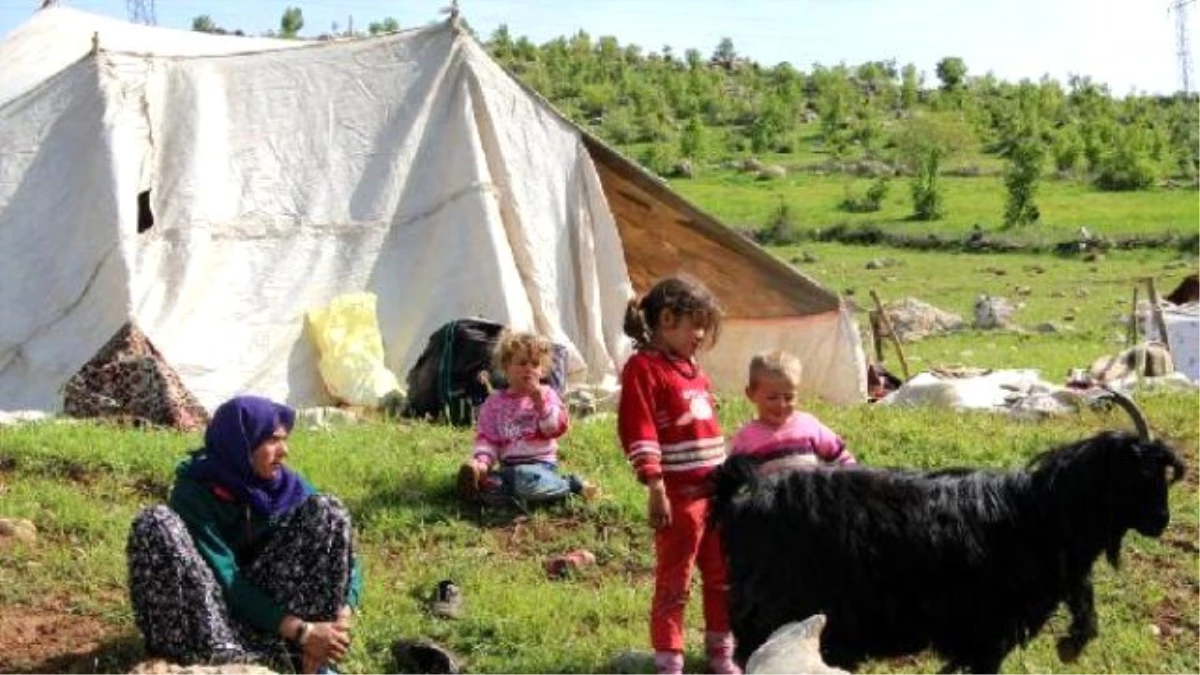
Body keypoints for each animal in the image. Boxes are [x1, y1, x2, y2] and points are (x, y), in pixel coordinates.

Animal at [705, 391, 1185, 667]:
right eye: (1142, 473)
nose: (1161, 521)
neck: (1038, 514)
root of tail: (743, 497)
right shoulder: (990, 627)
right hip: (769, 609)